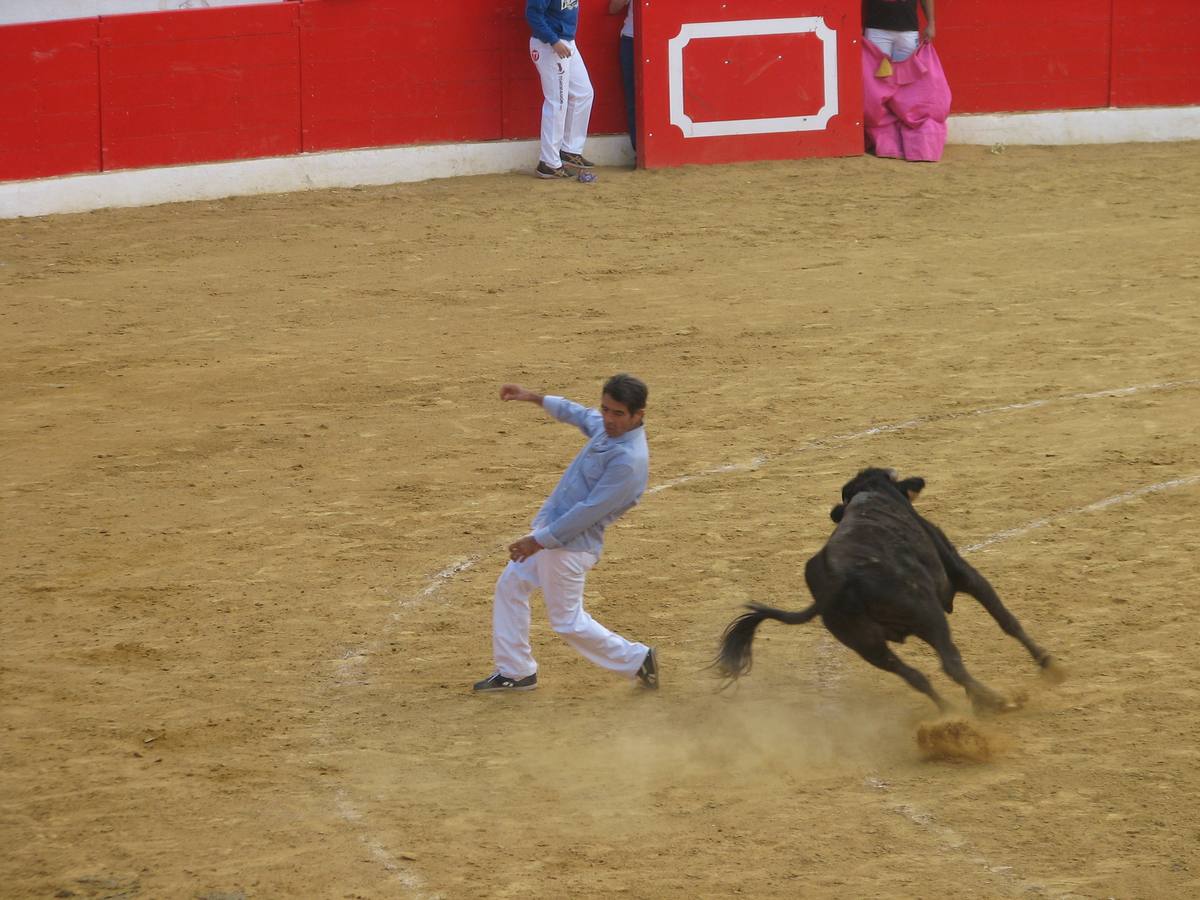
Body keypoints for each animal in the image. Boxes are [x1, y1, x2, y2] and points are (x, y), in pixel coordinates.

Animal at [710, 468, 1060, 715]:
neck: (873, 493)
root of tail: (838, 578)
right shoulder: (962, 572)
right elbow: (1006, 619)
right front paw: (1049, 663)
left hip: (866, 644)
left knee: (914, 676)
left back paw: (952, 713)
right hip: (927, 616)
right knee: (950, 663)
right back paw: (995, 701)